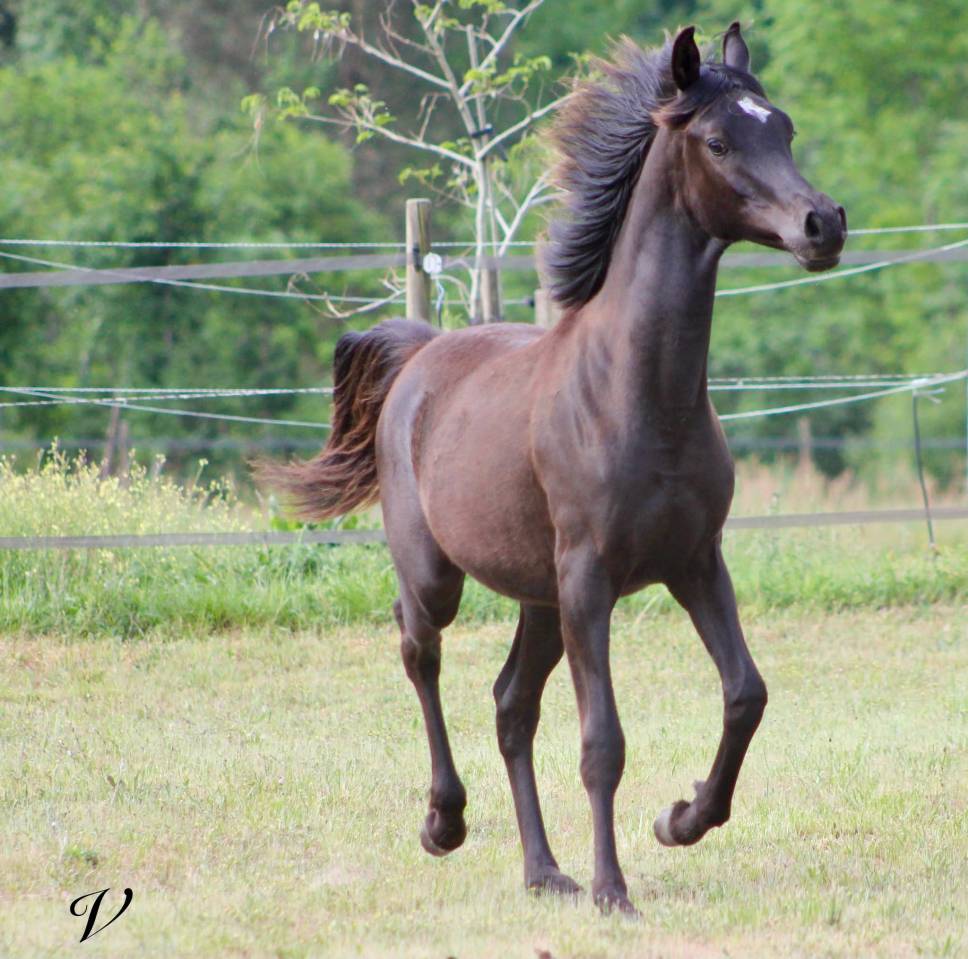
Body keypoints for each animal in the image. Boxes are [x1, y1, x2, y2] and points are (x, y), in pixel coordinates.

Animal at [256, 22, 846, 915]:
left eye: (783, 128)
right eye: (718, 140)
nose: (824, 223)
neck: (637, 397)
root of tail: (421, 354)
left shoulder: (695, 561)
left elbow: (746, 692)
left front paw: (680, 819)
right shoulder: (590, 578)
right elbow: (603, 740)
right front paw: (614, 888)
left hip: (538, 596)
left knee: (511, 705)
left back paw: (543, 871)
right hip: (445, 574)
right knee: (420, 649)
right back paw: (445, 823)